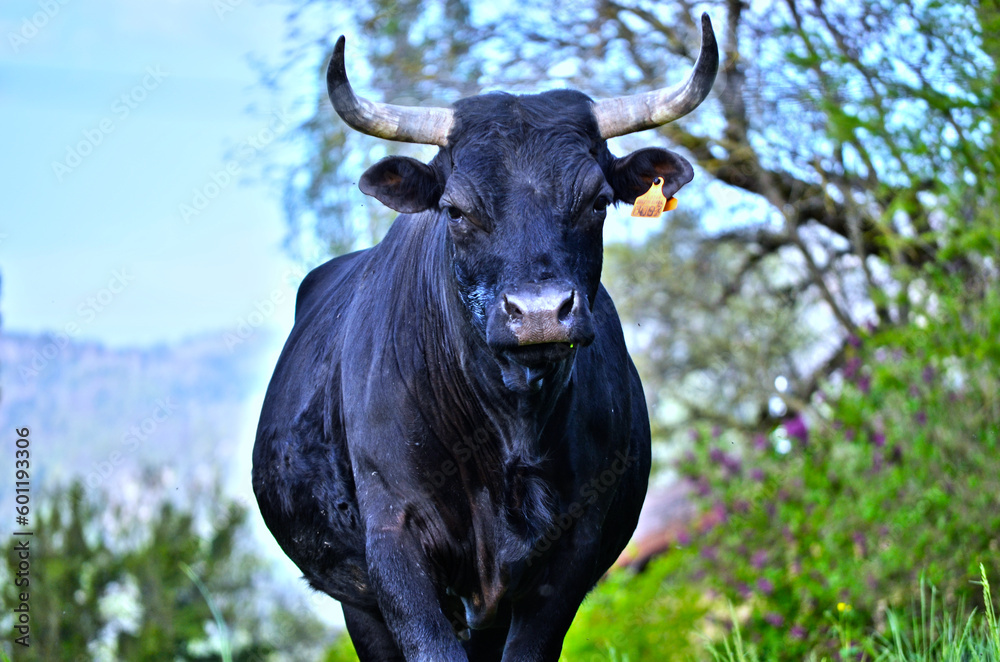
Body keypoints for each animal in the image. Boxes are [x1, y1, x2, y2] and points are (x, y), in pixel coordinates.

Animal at [253, 15, 717, 662]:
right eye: (455, 210)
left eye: (598, 201)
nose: (541, 313)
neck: (509, 427)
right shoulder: (394, 544)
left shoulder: (569, 555)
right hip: (358, 601)